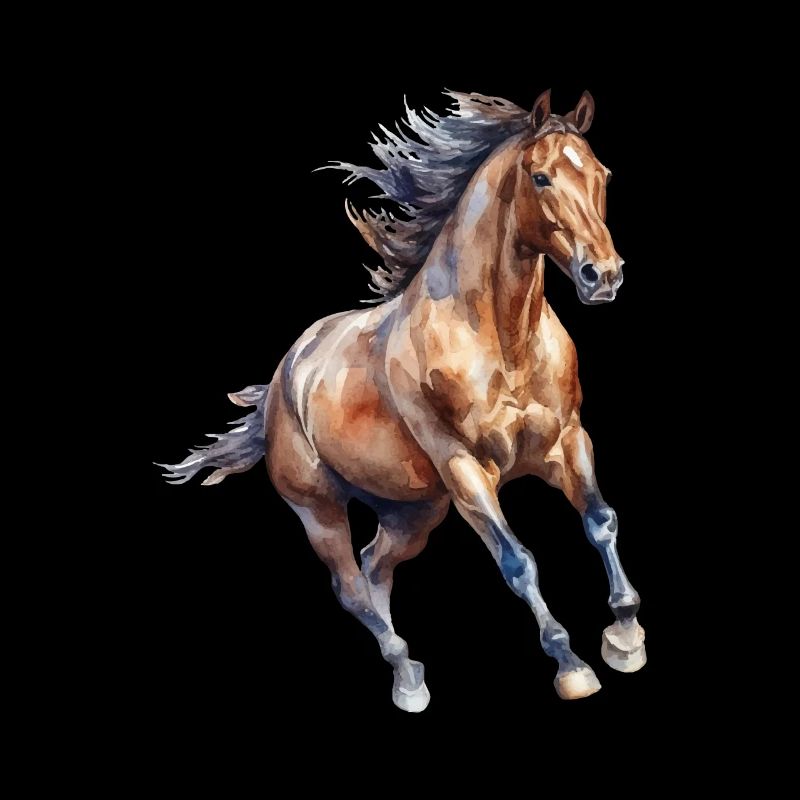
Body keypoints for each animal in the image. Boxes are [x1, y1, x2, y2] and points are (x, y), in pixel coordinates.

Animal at [160, 89, 645, 712]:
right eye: (540, 177)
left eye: (602, 174)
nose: (602, 275)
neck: (500, 339)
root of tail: (286, 374)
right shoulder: (465, 468)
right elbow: (518, 562)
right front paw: (572, 665)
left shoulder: (567, 440)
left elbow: (601, 520)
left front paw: (626, 636)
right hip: (320, 509)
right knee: (350, 585)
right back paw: (409, 678)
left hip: (412, 512)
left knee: (376, 566)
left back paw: (408, 675)